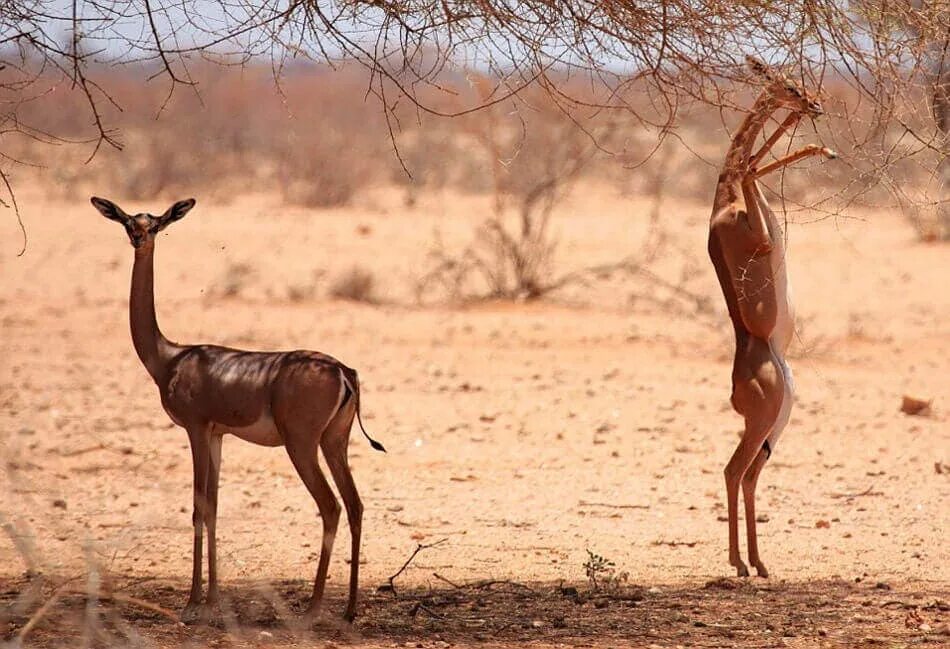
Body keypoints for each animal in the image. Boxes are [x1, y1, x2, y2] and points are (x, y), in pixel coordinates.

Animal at [90, 195, 386, 620]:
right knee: (356, 504)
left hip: (302, 446)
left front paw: (192, 602)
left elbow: (198, 507)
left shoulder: (196, 429)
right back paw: (348, 610)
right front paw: (213, 597)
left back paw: (312, 608)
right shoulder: (218, 435)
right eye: (130, 221)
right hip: (334, 443)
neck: (170, 357)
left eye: (158, 223)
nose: (139, 238)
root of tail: (343, 371)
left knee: (331, 506)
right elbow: (213, 506)